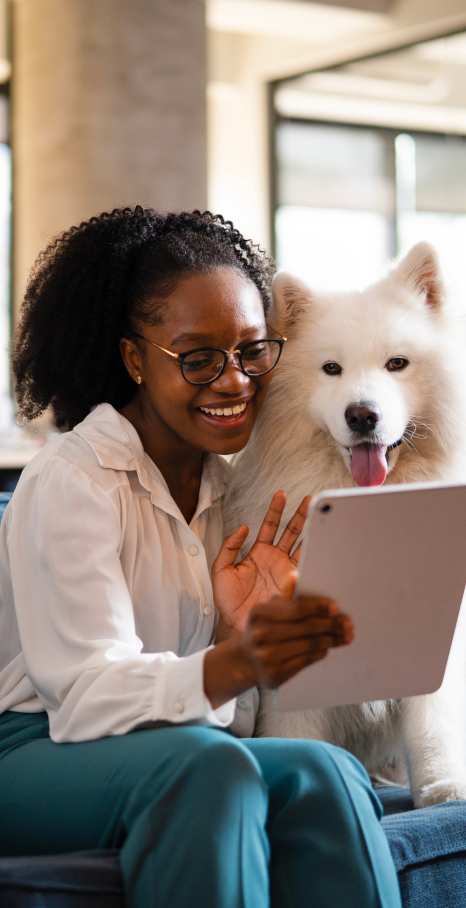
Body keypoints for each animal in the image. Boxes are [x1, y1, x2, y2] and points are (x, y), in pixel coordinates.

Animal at [226, 243, 466, 808]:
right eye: (331, 369)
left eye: (397, 364)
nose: (362, 415)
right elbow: (296, 726)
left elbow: (434, 720)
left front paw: (443, 786)